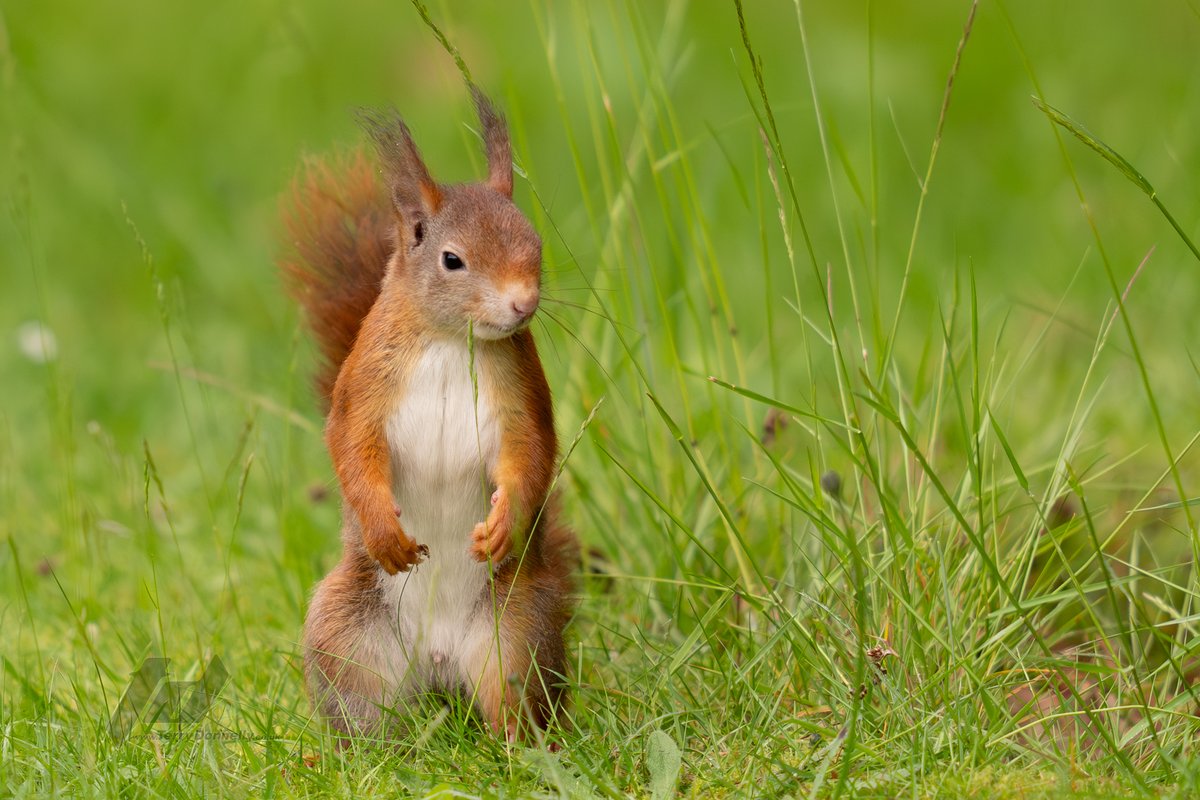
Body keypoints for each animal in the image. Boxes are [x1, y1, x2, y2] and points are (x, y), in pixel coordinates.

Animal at [280, 87, 578, 742]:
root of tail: (438, 666)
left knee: (512, 698)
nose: (524, 303)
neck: (448, 340)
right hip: (347, 636)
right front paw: (382, 527)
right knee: (366, 716)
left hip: (516, 632)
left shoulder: (522, 398)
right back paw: (364, 753)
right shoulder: (365, 388)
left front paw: (503, 523)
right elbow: (351, 445)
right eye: (452, 260)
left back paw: (523, 748)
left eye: (536, 244)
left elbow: (529, 453)